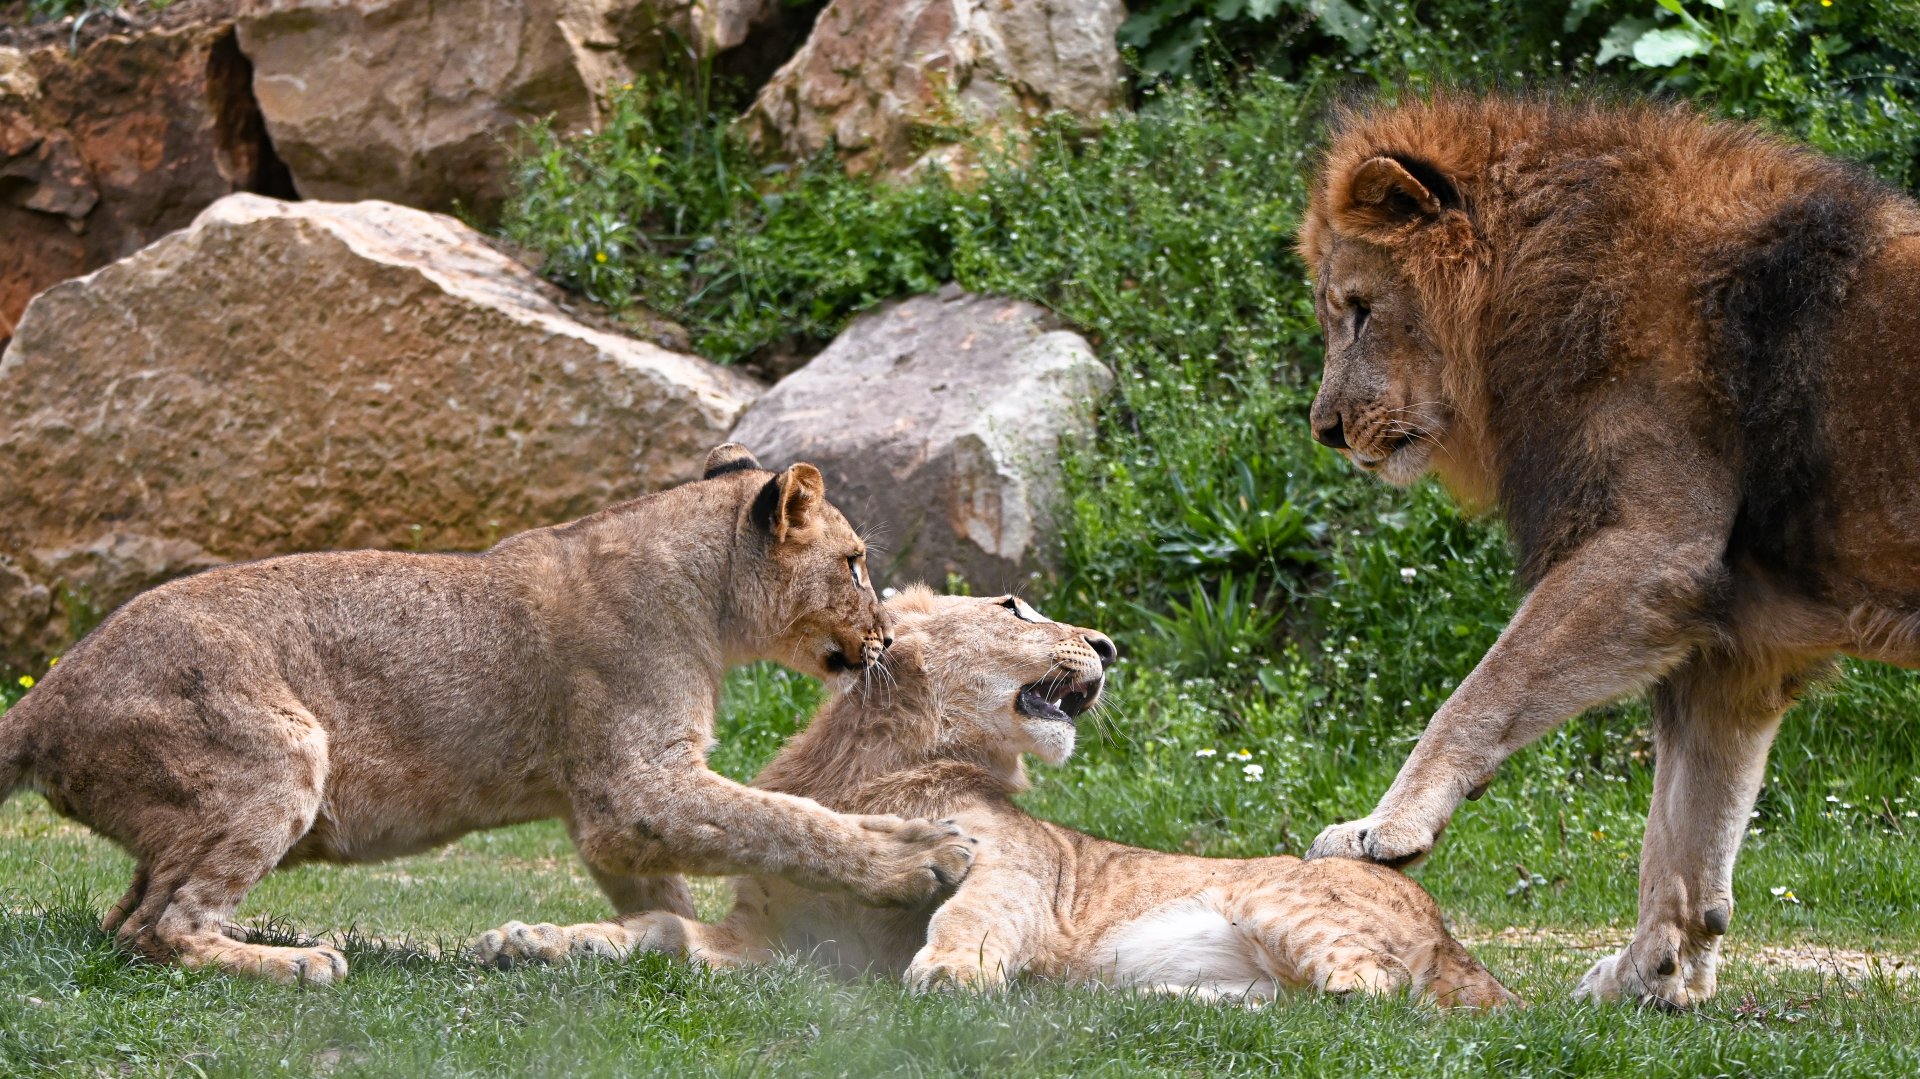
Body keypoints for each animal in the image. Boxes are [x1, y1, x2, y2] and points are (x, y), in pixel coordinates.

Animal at [0, 444, 976, 984]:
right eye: (855, 562)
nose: (886, 633)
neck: (710, 598)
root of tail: (46, 691)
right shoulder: (634, 786)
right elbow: (787, 820)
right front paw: (921, 854)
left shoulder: (609, 813)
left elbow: (667, 893)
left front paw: (643, 943)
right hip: (278, 753)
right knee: (157, 930)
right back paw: (299, 961)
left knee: (123, 919)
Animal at [475, 587, 1516, 1008]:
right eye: (1014, 607)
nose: (1106, 645)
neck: (868, 765)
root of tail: (1453, 931)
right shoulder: (771, 942)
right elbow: (658, 930)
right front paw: (531, 939)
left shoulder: (1012, 865)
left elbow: (973, 906)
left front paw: (952, 972)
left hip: (1286, 899)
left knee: (1375, 991)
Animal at [1294, 92, 1920, 1005]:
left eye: (1360, 308)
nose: (1328, 431)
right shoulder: (1742, 643)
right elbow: (1688, 834)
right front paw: (1651, 974)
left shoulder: (1654, 545)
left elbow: (1484, 690)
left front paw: (1386, 825)